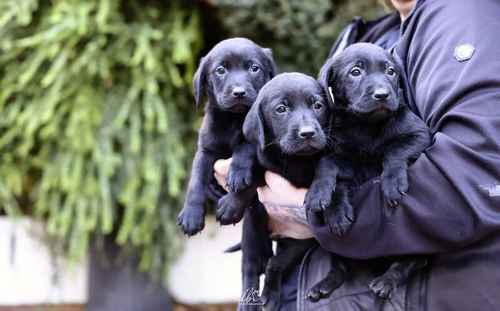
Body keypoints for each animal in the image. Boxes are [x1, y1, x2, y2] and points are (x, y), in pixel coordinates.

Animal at [177, 37, 278, 236]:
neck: (233, 119)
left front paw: (231, 203)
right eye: (220, 70)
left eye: (254, 68)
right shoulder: (205, 150)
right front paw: (191, 215)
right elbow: (196, 182)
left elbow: (246, 149)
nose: (239, 93)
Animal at [231, 72, 346, 310]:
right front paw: (231, 204)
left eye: (318, 105)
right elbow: (254, 177)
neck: (297, 160)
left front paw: (336, 210)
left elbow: (333, 175)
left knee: (277, 263)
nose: (308, 133)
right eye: (281, 109)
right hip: (252, 231)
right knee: (250, 268)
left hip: (303, 239)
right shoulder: (266, 160)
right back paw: (249, 302)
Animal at [306, 42, 432, 298]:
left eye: (391, 72)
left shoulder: (419, 134)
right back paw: (324, 284)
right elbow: (328, 166)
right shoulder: (343, 156)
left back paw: (386, 281)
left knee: (410, 261)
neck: (366, 125)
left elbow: (395, 150)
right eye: (355, 72)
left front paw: (392, 184)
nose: (382, 95)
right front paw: (326, 201)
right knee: (340, 266)